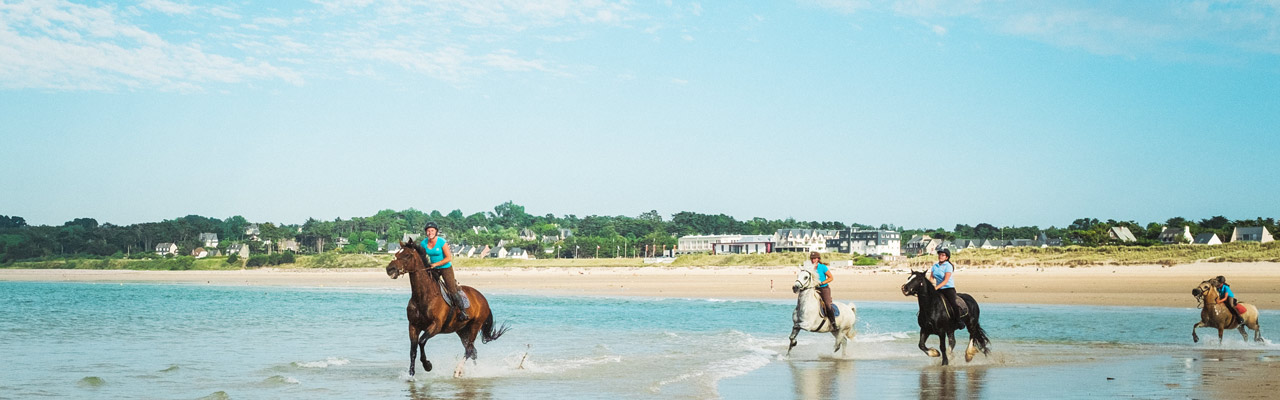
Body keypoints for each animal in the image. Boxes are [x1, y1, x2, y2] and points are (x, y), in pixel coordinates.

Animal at [384, 241, 509, 376]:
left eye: (407, 255)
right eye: (397, 254)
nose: (389, 269)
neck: (423, 296)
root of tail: (483, 299)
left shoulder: (436, 326)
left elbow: (421, 342)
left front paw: (427, 365)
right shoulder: (413, 325)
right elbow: (413, 349)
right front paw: (411, 374)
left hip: (475, 326)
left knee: (469, 350)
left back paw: (458, 370)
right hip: (462, 330)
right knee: (472, 351)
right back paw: (474, 371)